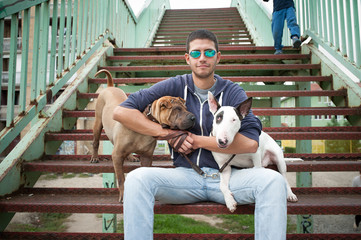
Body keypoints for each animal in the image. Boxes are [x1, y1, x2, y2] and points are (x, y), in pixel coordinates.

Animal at [91, 70, 195, 202]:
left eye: (185, 108)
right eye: (177, 109)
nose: (193, 118)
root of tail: (110, 87)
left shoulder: (147, 156)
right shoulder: (117, 156)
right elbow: (121, 178)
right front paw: (124, 194)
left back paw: (131, 156)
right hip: (98, 122)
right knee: (95, 141)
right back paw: (94, 157)